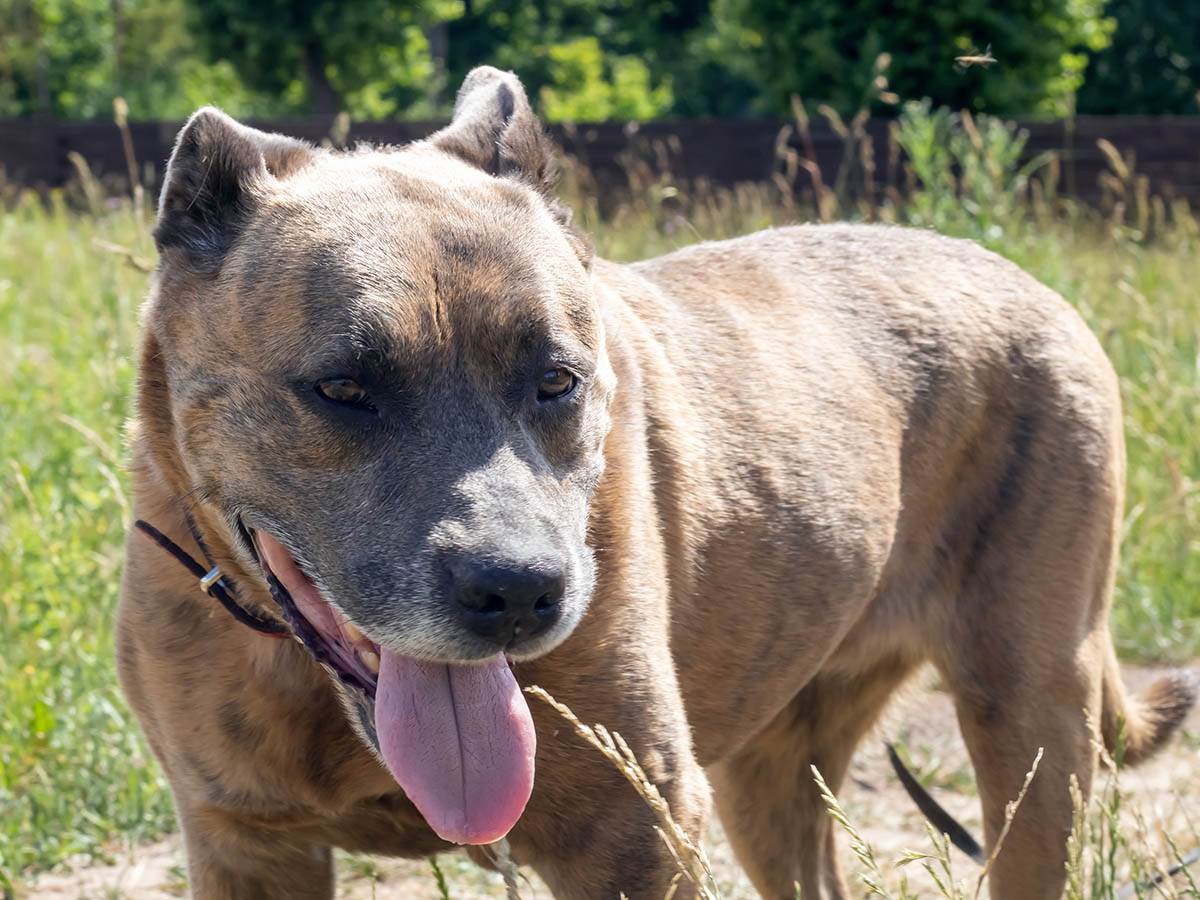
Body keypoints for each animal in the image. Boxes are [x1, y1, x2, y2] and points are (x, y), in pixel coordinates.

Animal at [117, 68, 1195, 900]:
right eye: (343, 388)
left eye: (558, 380)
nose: (521, 592)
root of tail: (1023, 277)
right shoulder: (246, 844)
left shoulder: (638, 831)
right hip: (774, 768)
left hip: (1031, 728)